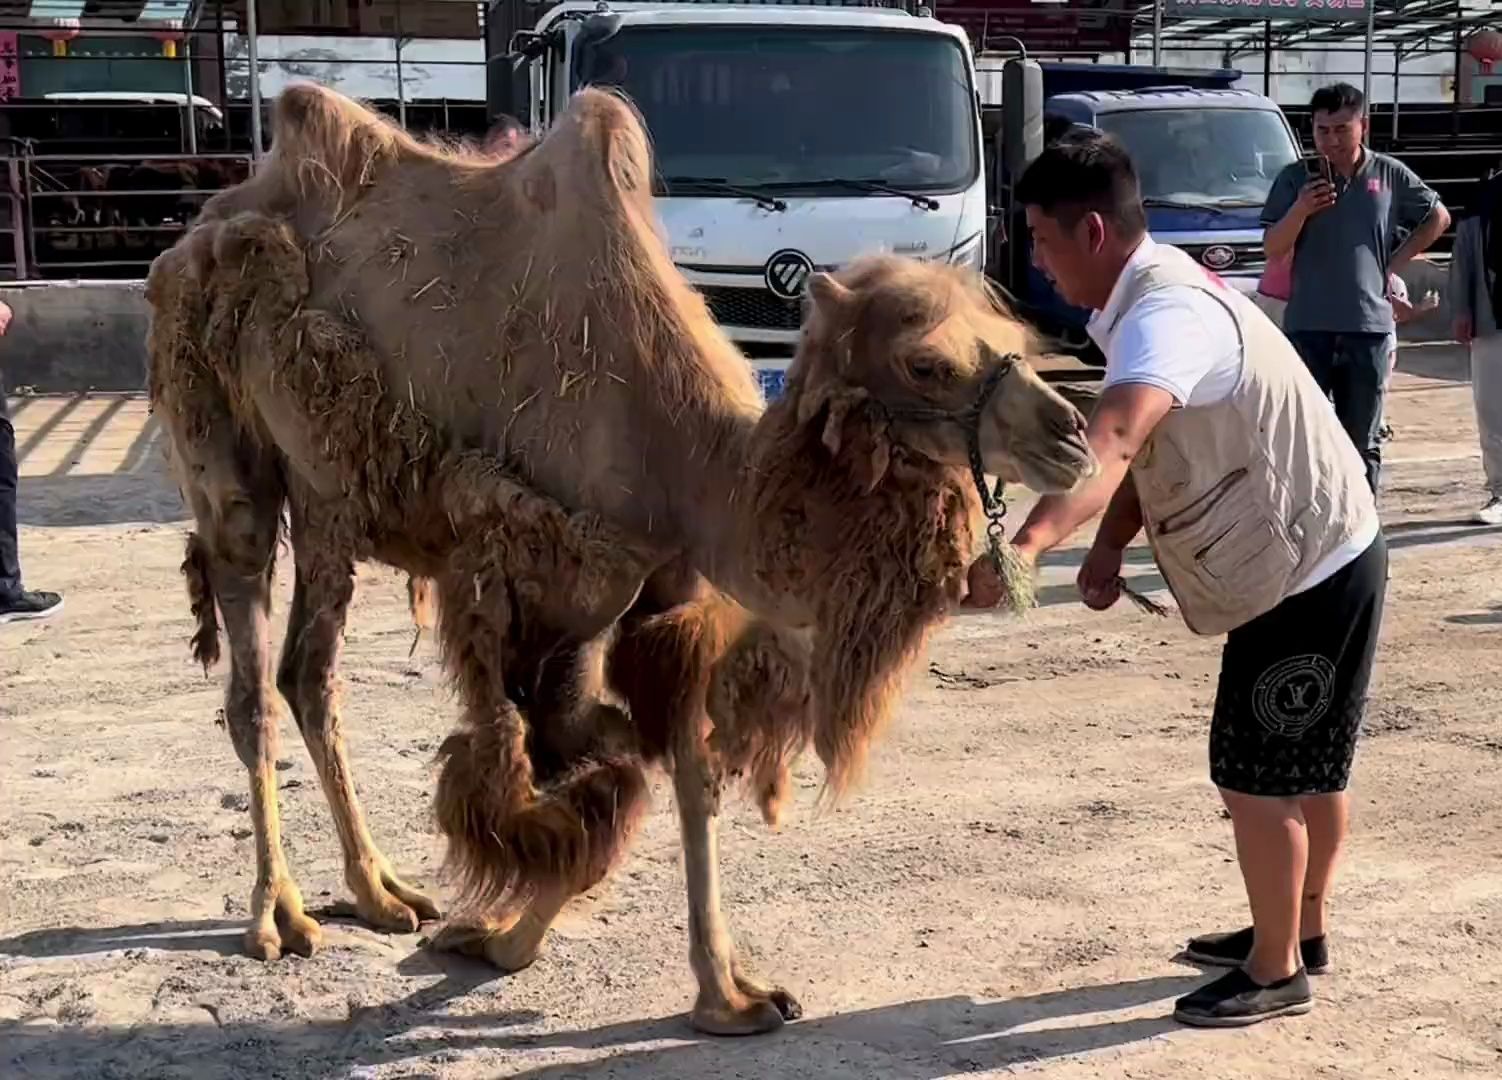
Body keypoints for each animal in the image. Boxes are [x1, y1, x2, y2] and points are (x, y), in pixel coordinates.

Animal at [146, 80, 1099, 1033]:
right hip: (221, 441)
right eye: (927, 363)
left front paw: (724, 992)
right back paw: (277, 916)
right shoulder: (553, 586)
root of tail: (204, 227)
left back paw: (382, 892)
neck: (699, 472)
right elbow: (571, 754)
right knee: (251, 676)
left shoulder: (667, 593)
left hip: (327, 501)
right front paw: (501, 928)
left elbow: (682, 767)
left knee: (311, 674)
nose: (1073, 435)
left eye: (1006, 336)